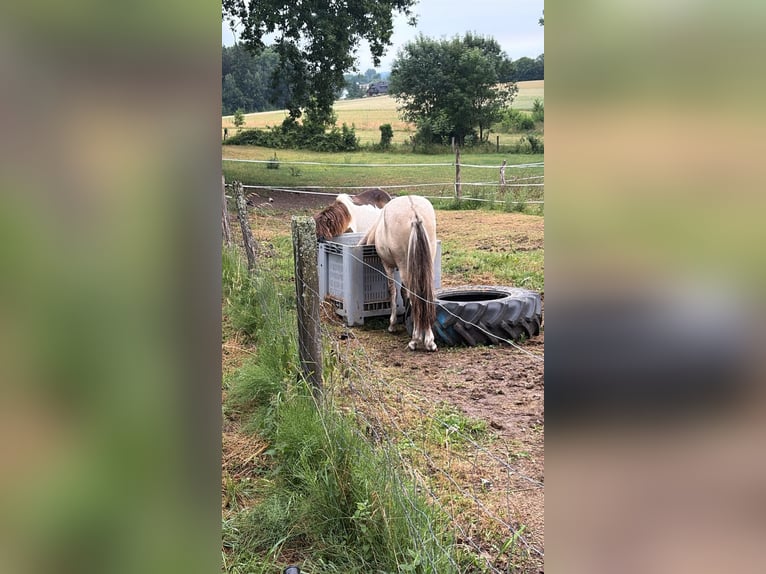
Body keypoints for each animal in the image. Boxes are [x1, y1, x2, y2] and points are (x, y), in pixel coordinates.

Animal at [358, 195, 438, 352]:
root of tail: (415, 214)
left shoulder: (388, 266)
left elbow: (393, 291)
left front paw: (392, 324)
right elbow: (403, 291)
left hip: (403, 266)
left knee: (415, 296)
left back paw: (416, 339)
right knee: (426, 296)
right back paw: (429, 340)